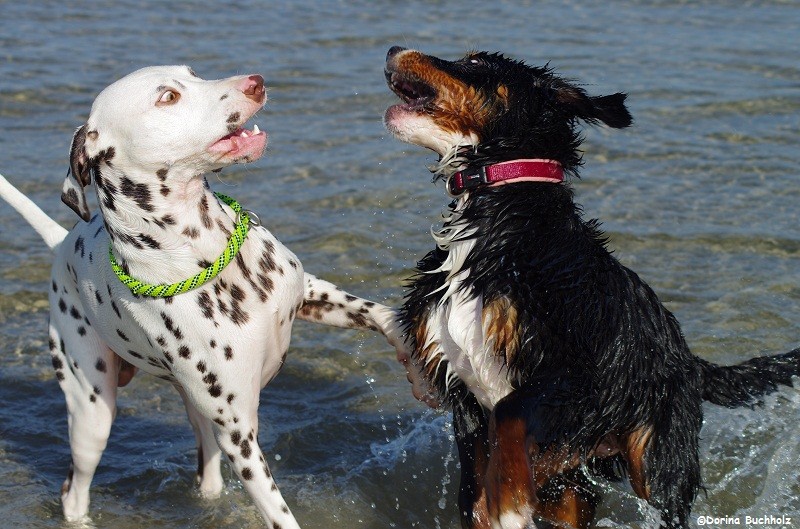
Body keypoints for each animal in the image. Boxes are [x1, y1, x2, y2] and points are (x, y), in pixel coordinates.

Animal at [384, 46, 796, 528]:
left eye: (476, 64)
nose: (393, 50)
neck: (493, 219)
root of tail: (689, 360)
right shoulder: (462, 392)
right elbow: (473, 484)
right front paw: (496, 500)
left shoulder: (576, 374)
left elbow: (508, 415)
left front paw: (509, 497)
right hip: (580, 486)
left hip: (657, 463)